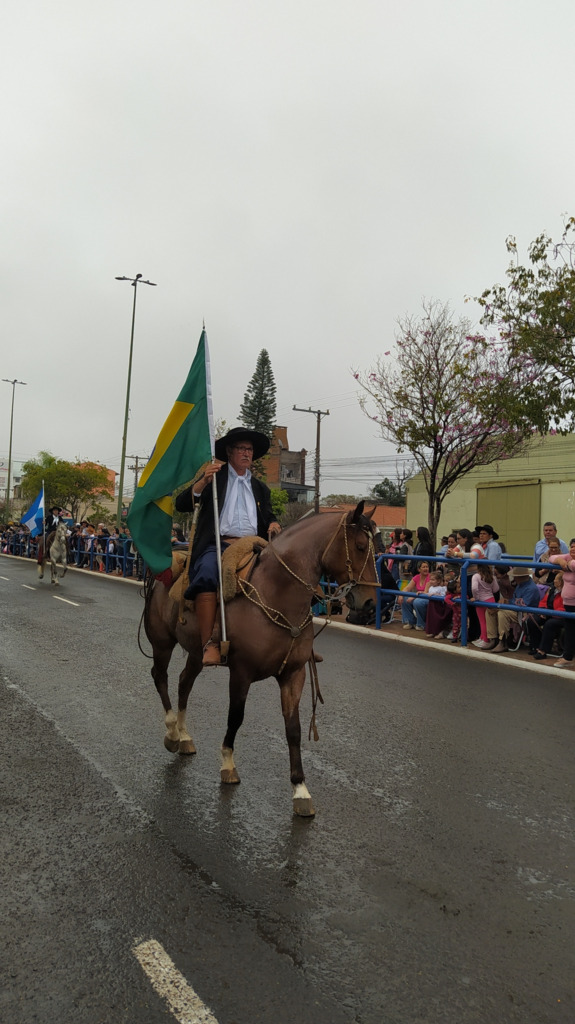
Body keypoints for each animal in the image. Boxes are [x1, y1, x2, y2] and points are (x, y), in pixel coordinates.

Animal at [141, 499, 378, 819]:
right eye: (362, 546)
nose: (370, 603)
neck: (277, 592)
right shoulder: (241, 672)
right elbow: (236, 717)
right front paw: (228, 763)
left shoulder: (294, 674)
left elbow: (293, 729)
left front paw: (300, 789)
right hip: (163, 643)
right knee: (161, 677)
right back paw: (171, 732)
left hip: (196, 653)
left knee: (183, 683)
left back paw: (185, 735)